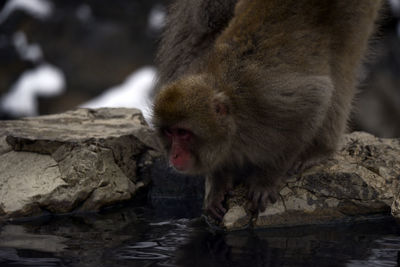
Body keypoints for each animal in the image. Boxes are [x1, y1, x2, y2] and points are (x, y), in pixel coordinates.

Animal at [152, 0, 382, 220]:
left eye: (183, 133)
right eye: (170, 133)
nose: (174, 155)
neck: (236, 116)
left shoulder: (268, 101)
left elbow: (316, 99)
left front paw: (265, 179)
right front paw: (218, 184)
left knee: (342, 67)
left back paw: (320, 150)